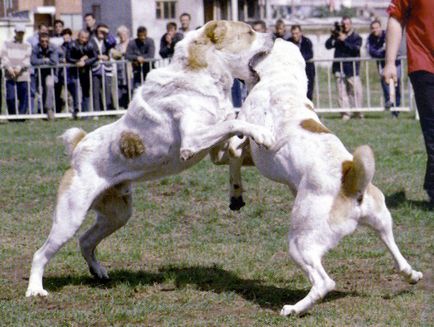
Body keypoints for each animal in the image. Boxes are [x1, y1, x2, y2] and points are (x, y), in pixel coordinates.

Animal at [25, 19, 274, 298]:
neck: (203, 76)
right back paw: (35, 290)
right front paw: (263, 133)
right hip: (70, 217)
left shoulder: (215, 150)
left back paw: (98, 272)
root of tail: (79, 146)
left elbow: (234, 144)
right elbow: (235, 121)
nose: (275, 35)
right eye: (249, 32)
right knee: (40, 253)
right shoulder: (192, 141)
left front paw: (237, 191)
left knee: (86, 241)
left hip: (118, 214)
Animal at [229, 39, 422, 318]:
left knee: (324, 283)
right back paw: (411, 274)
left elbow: (233, 151)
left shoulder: (245, 135)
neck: (282, 77)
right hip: (381, 219)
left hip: (299, 243)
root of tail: (351, 184)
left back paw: (293, 309)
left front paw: (235, 194)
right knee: (394, 250)